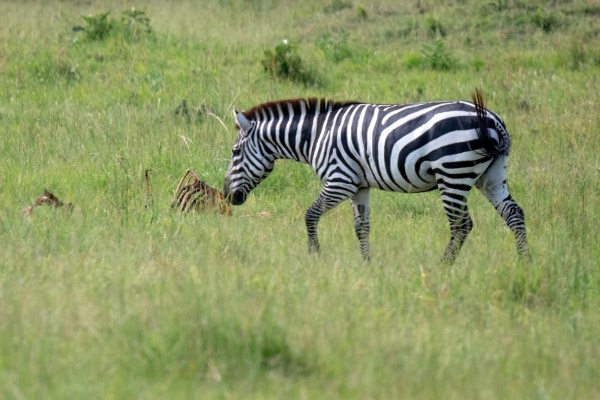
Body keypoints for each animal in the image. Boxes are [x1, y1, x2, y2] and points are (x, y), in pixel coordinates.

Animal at [224, 92, 528, 264]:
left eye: (235, 152)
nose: (228, 196)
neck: (315, 135)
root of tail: (493, 121)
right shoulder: (359, 185)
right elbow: (362, 227)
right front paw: (366, 265)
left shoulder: (340, 180)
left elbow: (310, 215)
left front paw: (315, 256)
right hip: (490, 175)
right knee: (514, 214)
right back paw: (525, 262)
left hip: (453, 173)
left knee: (461, 225)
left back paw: (443, 267)